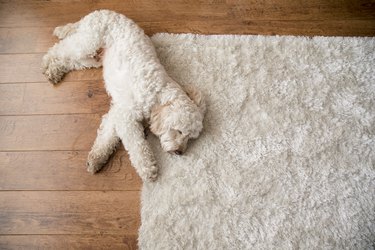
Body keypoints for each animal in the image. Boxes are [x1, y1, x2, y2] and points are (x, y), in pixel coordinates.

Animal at [42, 9, 207, 182]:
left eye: (190, 138)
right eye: (179, 131)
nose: (180, 152)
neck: (157, 94)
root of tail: (100, 12)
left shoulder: (117, 112)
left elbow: (107, 136)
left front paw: (96, 158)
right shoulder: (127, 116)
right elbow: (137, 146)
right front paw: (147, 168)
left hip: (92, 58)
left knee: (70, 61)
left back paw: (55, 70)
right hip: (87, 42)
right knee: (59, 49)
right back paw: (48, 63)